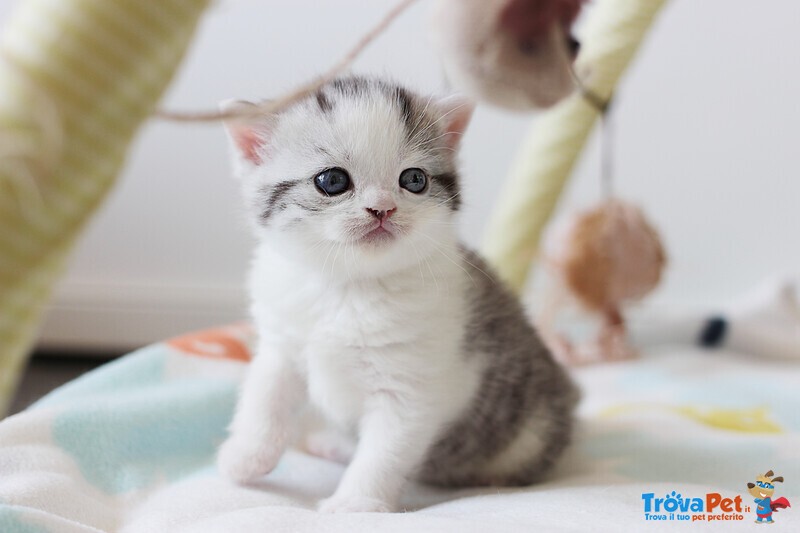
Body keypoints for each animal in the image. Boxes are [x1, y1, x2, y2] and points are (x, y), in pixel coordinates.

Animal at [216, 75, 580, 512]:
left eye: (414, 180)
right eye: (332, 181)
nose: (382, 209)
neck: (348, 288)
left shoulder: (410, 387)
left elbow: (384, 452)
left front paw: (355, 504)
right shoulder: (281, 345)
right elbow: (265, 399)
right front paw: (246, 456)